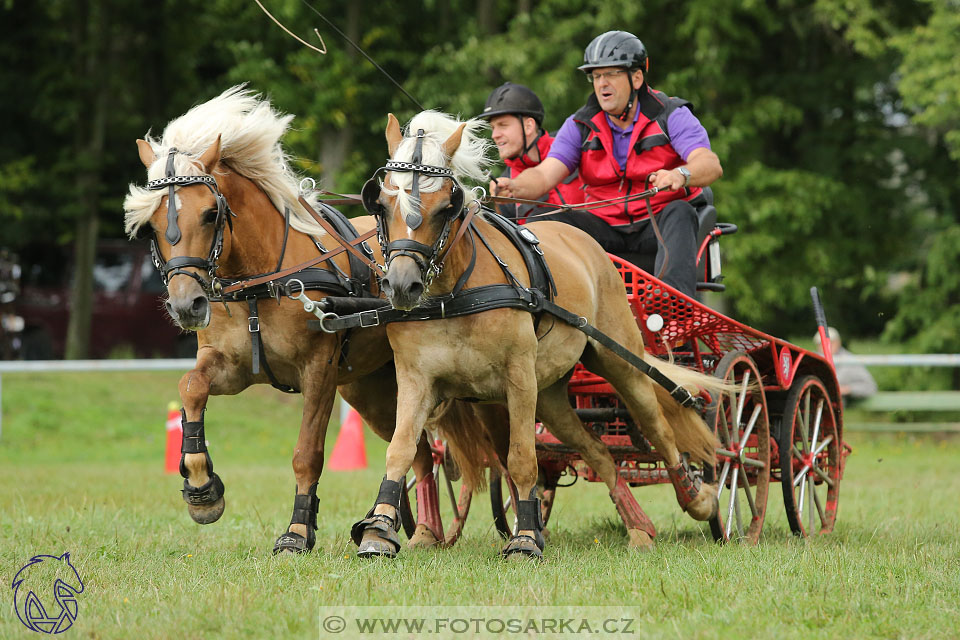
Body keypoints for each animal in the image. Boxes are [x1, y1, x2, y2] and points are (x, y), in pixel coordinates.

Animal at [122, 87, 474, 552]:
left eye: (211, 213)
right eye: (150, 225)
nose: (187, 306)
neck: (261, 280)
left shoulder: (319, 372)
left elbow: (307, 453)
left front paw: (297, 531)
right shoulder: (229, 366)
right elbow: (191, 386)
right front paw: (202, 489)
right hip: (371, 388)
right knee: (415, 450)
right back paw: (414, 530)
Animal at [352, 111, 728, 560]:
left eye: (446, 206)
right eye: (381, 202)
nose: (401, 285)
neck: (452, 293)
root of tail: (584, 239)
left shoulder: (518, 379)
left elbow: (520, 459)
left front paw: (526, 538)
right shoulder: (416, 379)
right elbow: (401, 449)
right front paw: (378, 530)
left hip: (619, 363)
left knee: (659, 427)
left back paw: (698, 498)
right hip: (551, 395)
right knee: (598, 450)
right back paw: (639, 528)